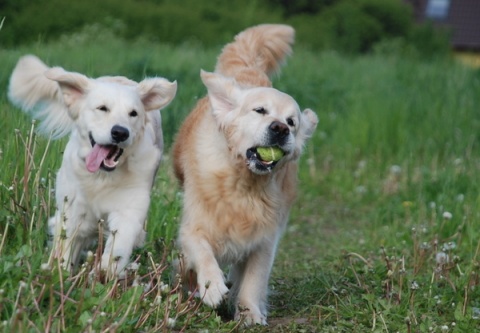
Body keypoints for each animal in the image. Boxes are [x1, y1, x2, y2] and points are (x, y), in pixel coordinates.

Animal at [8, 55, 177, 276]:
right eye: (102, 108)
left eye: (133, 113)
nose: (120, 132)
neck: (101, 176)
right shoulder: (73, 208)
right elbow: (66, 245)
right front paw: (60, 274)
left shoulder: (130, 207)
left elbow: (119, 245)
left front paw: (105, 272)